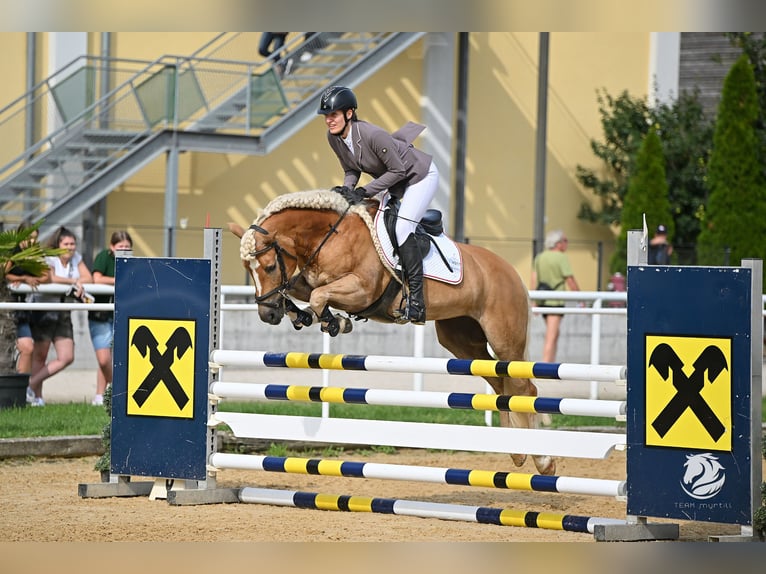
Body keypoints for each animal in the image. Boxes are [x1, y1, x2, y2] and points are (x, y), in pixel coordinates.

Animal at [225, 191, 556, 474]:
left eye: (269, 266)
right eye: (247, 268)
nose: (267, 315)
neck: (329, 237)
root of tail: (512, 271)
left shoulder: (361, 289)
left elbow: (319, 296)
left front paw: (335, 322)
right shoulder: (308, 280)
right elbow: (303, 291)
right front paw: (302, 314)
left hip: (503, 337)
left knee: (524, 388)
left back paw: (543, 461)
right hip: (461, 340)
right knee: (501, 386)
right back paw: (517, 451)